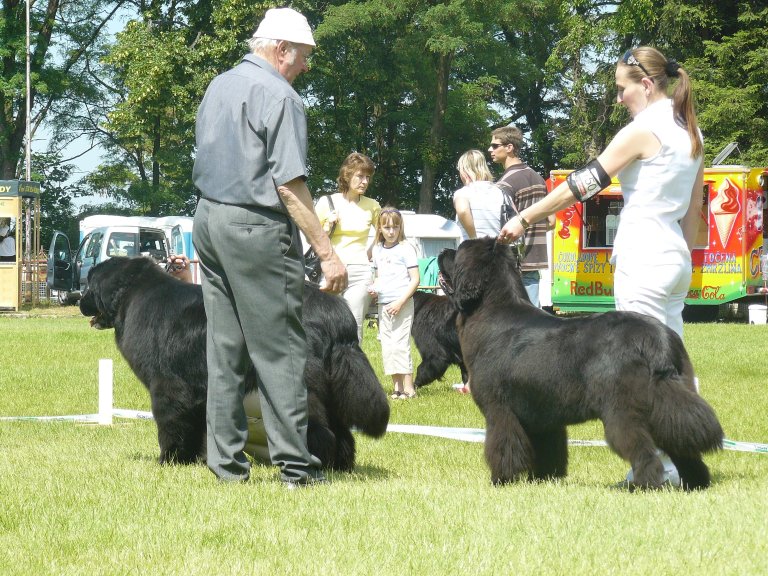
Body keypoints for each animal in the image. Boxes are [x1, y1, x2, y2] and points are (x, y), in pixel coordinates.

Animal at [438, 238, 728, 490]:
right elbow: (549, 451)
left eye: (458, 252)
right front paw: (544, 479)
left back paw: (644, 485)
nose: (442, 250)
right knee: (682, 447)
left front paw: (501, 480)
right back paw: (696, 483)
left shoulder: (499, 410)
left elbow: (503, 446)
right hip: (667, 400)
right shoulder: (543, 415)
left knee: (644, 451)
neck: (491, 310)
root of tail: (655, 339)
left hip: (622, 411)